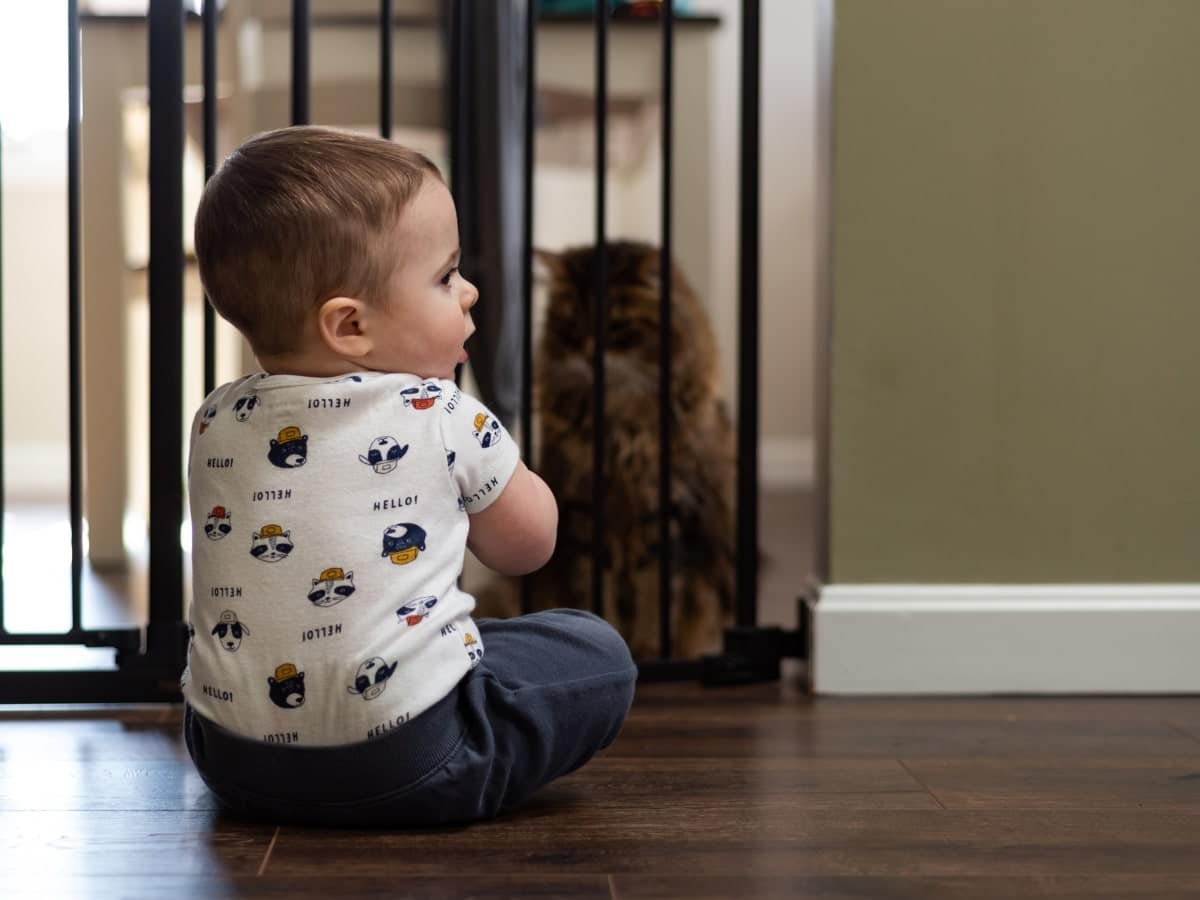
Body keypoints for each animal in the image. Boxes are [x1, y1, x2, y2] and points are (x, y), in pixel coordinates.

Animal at [528, 241, 734, 662]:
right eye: (572, 322)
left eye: (618, 325)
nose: (589, 355)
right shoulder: (585, 510)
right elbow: (597, 590)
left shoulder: (668, 510)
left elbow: (657, 591)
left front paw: (652, 651)